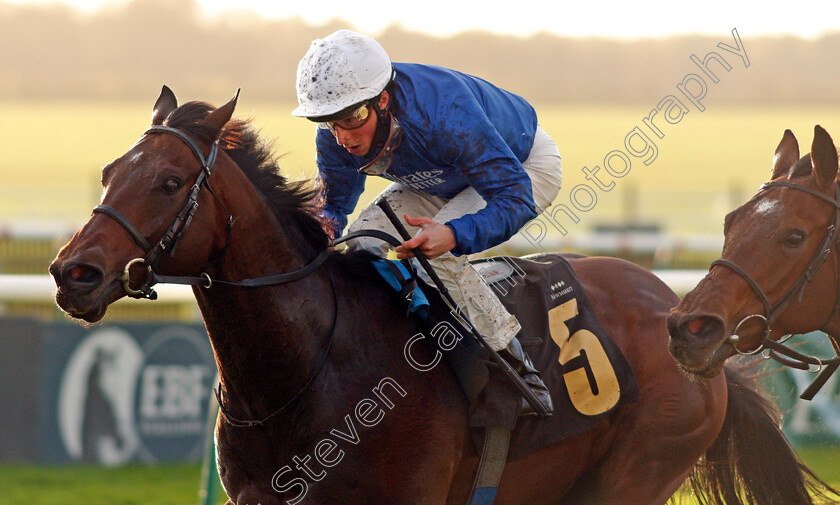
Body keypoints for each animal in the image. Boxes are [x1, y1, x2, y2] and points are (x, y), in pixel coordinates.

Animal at [50, 87, 828, 504]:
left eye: (169, 182)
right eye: (110, 171)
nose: (72, 273)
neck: (308, 365)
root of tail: (687, 320)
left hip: (638, 470)